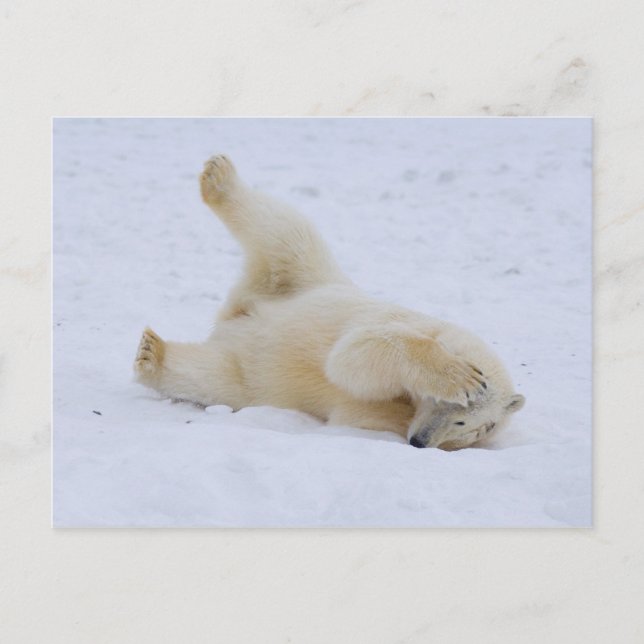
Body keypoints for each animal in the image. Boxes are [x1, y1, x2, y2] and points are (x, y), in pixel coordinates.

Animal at [134, 155, 525, 449]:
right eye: (454, 406)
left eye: (468, 425)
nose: (420, 442)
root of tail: (238, 312)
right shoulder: (405, 322)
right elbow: (356, 353)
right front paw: (461, 376)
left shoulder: (381, 414)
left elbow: (357, 407)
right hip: (307, 277)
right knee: (285, 231)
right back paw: (220, 178)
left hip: (249, 374)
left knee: (212, 377)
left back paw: (153, 355)